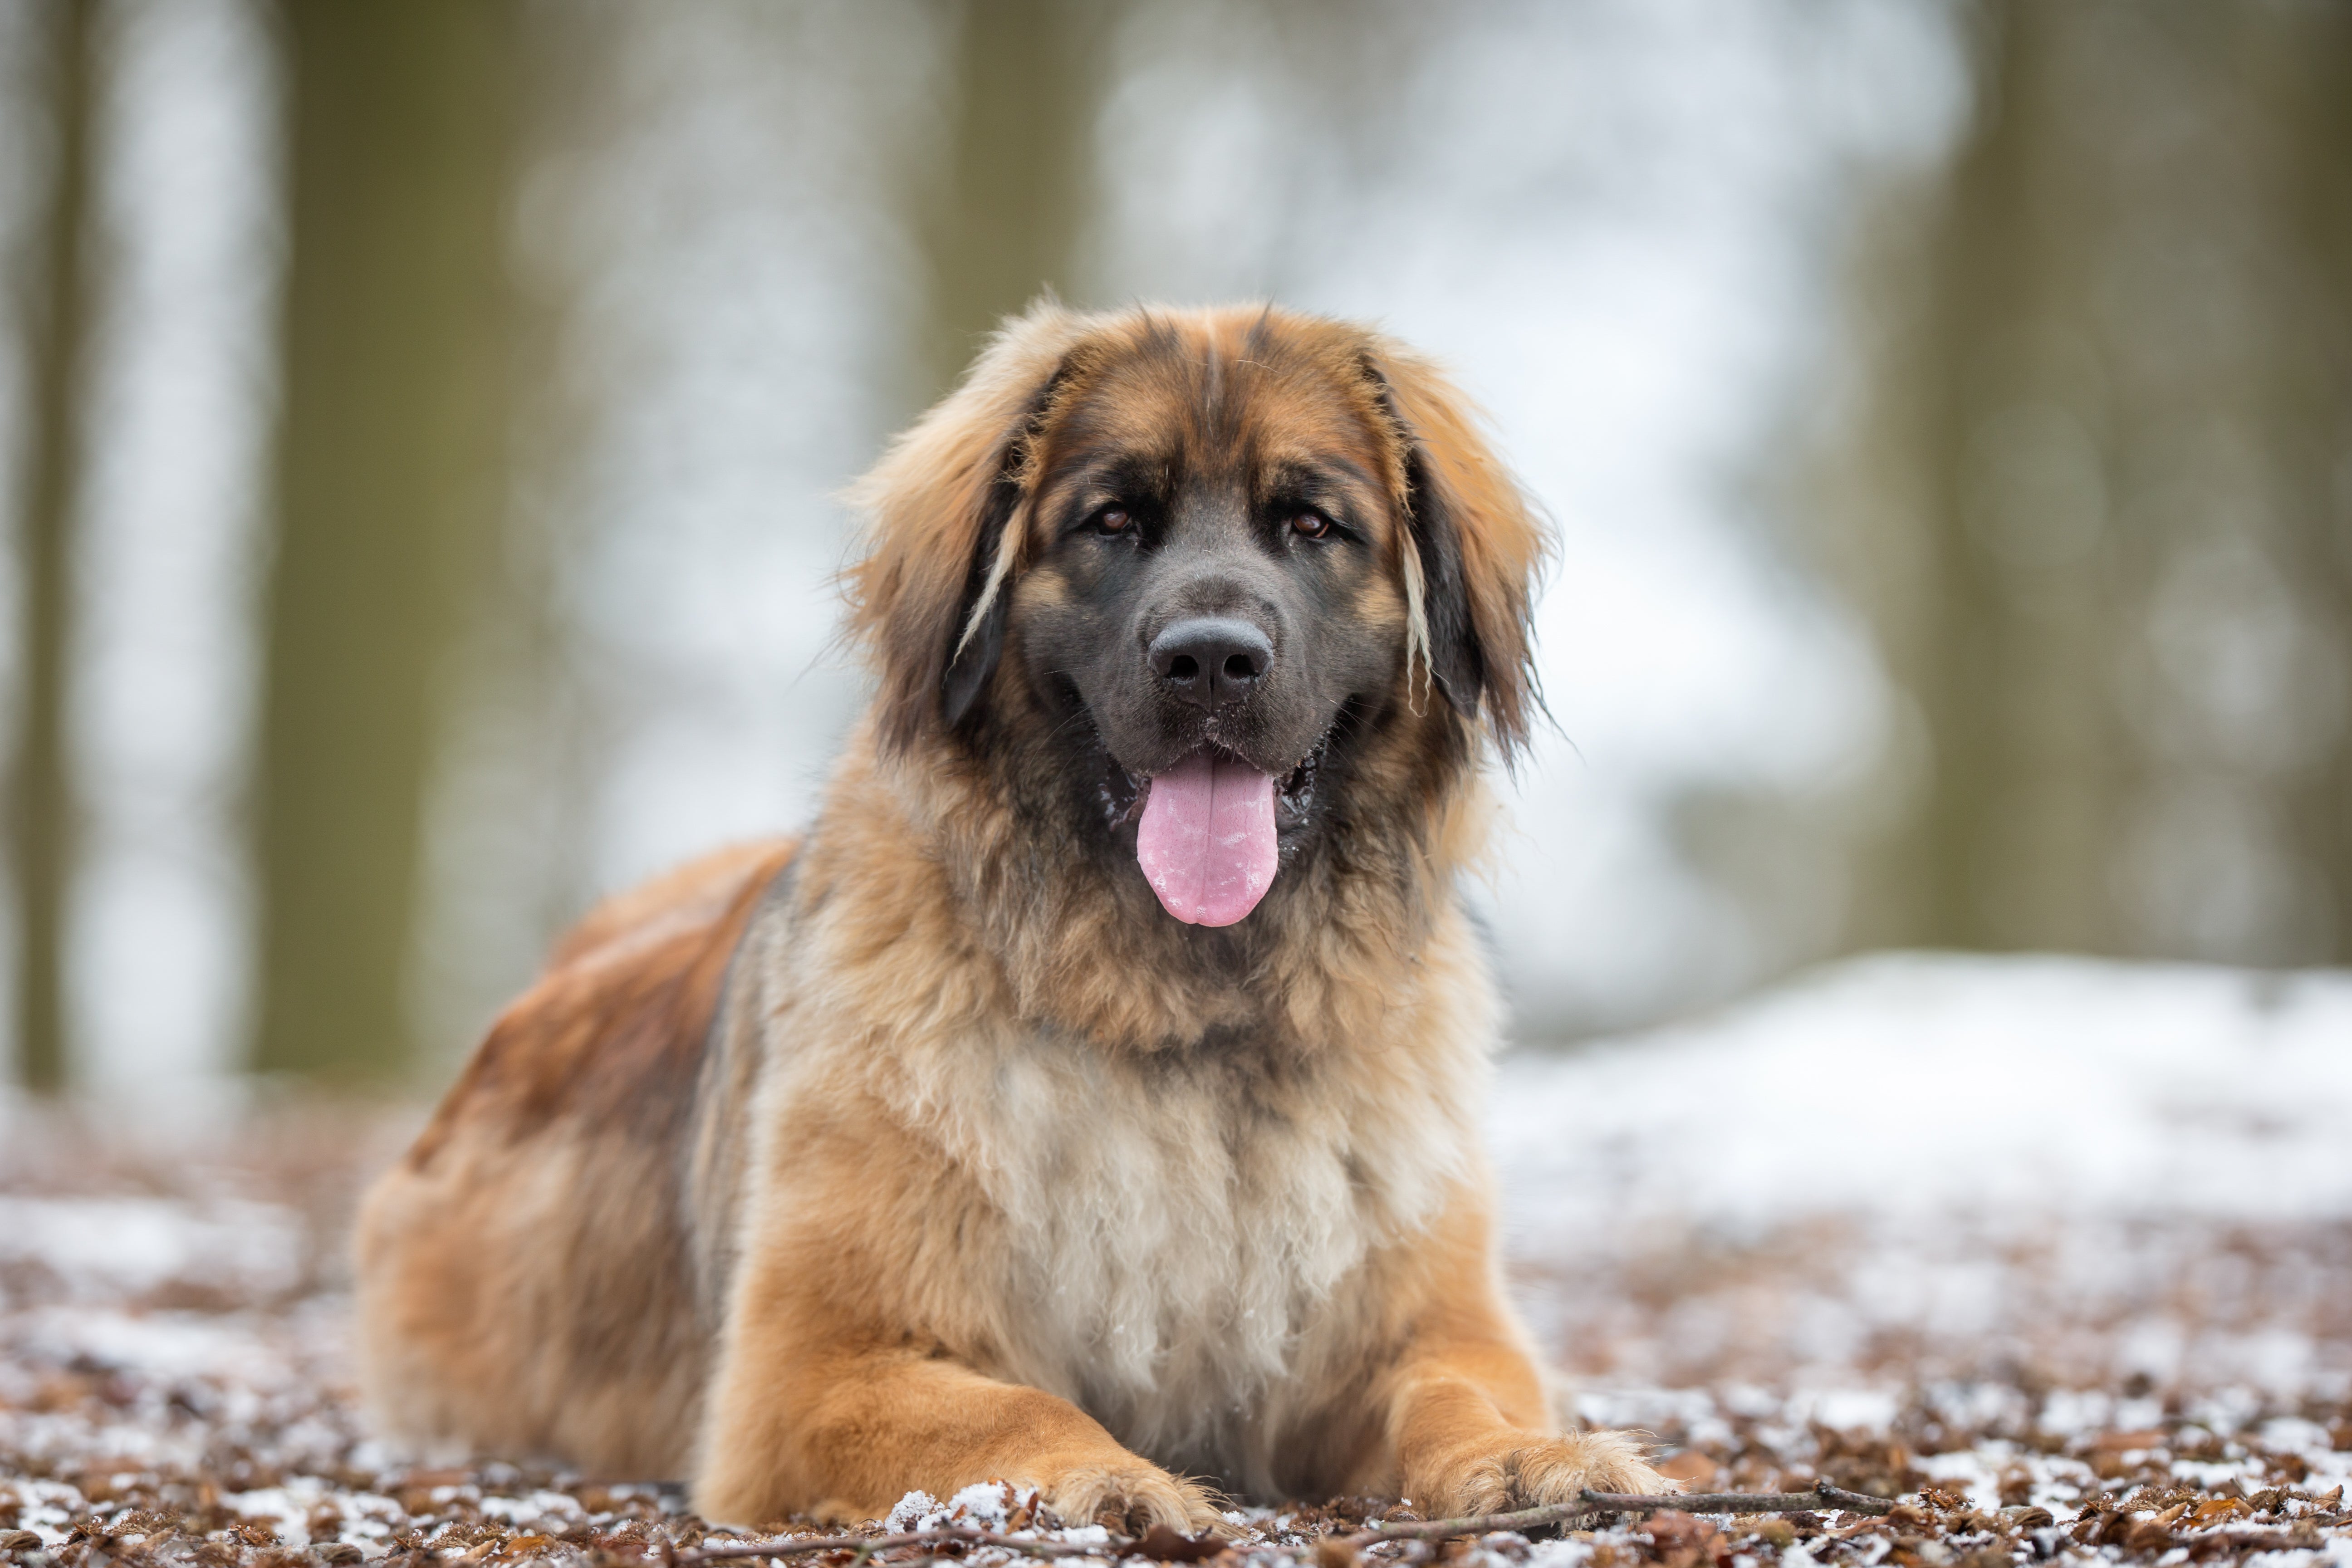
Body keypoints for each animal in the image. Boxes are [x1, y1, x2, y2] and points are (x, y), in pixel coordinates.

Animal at [353, 303, 1675, 1533]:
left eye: (1311, 523)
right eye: (1112, 523)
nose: (1210, 660)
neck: (1180, 1019)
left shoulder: (1420, 1321)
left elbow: (1454, 1389)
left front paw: (1532, 1456)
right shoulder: (816, 1361)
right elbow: (1011, 1404)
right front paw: (1112, 1481)